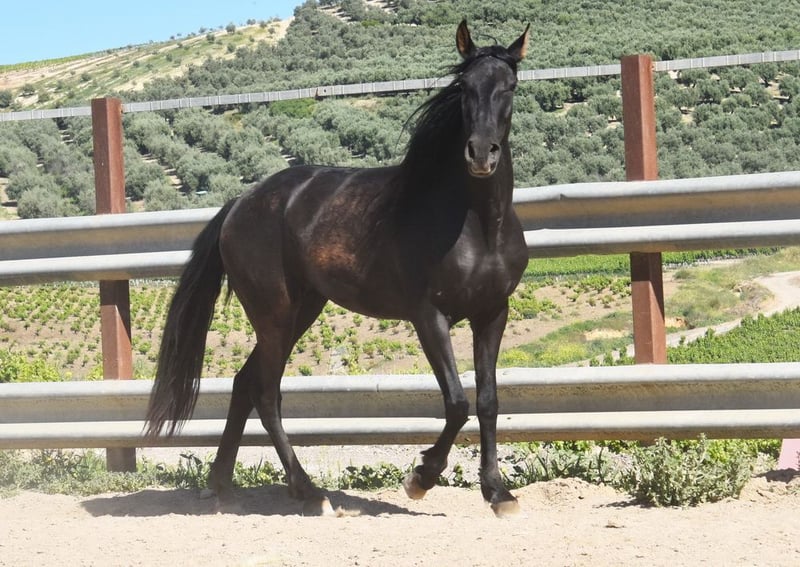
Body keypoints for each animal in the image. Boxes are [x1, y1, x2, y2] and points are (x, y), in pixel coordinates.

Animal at [146, 20, 531, 518]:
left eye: (510, 86)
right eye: (464, 87)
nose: (481, 154)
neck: (475, 226)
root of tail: (240, 203)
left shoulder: (492, 313)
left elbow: (487, 401)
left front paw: (499, 493)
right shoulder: (430, 317)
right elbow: (456, 402)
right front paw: (420, 478)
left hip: (301, 311)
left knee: (244, 383)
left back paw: (221, 485)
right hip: (274, 315)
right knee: (265, 392)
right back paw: (309, 492)